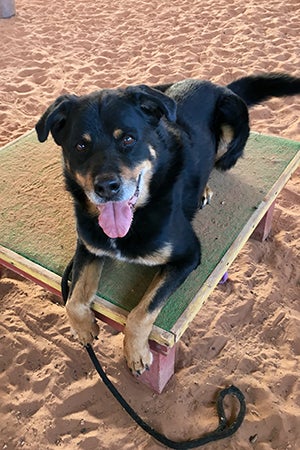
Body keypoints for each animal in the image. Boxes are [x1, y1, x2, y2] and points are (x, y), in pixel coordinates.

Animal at [35, 74, 300, 374]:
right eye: (81, 146)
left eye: (128, 139)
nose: (106, 187)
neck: (136, 216)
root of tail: (217, 85)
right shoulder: (89, 246)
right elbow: (74, 300)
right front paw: (84, 329)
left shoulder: (187, 256)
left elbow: (142, 312)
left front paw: (136, 353)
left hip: (231, 125)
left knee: (213, 162)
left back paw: (204, 189)